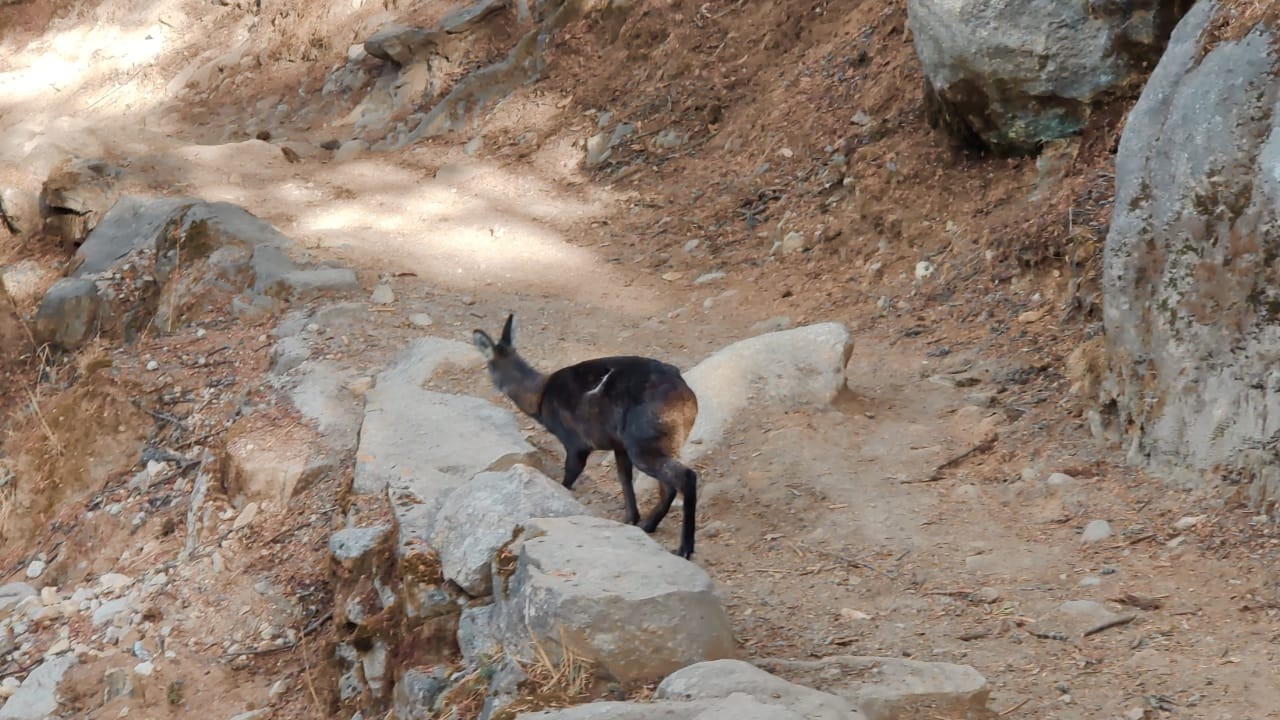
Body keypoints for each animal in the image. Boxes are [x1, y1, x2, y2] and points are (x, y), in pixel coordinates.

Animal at [476, 312, 706, 556]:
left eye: (488, 367)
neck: (540, 397)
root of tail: (686, 397)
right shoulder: (618, 444)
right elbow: (624, 478)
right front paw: (631, 519)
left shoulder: (576, 442)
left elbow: (568, 477)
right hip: (661, 442)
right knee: (668, 484)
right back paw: (650, 525)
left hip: (644, 443)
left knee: (685, 477)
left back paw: (684, 548)